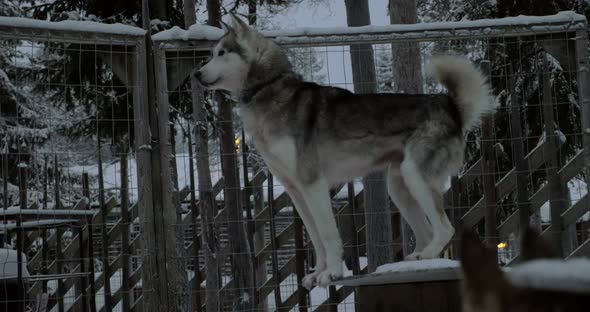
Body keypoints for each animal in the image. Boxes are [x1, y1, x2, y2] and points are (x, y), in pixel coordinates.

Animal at [197, 14, 498, 288]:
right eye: (211, 53)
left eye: (221, 53)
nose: (196, 75)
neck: (268, 88)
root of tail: (451, 108)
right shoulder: (296, 191)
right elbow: (315, 237)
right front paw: (317, 274)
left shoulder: (314, 184)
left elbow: (328, 235)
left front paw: (332, 274)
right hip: (399, 186)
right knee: (425, 231)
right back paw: (419, 259)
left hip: (416, 177)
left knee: (445, 228)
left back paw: (428, 255)